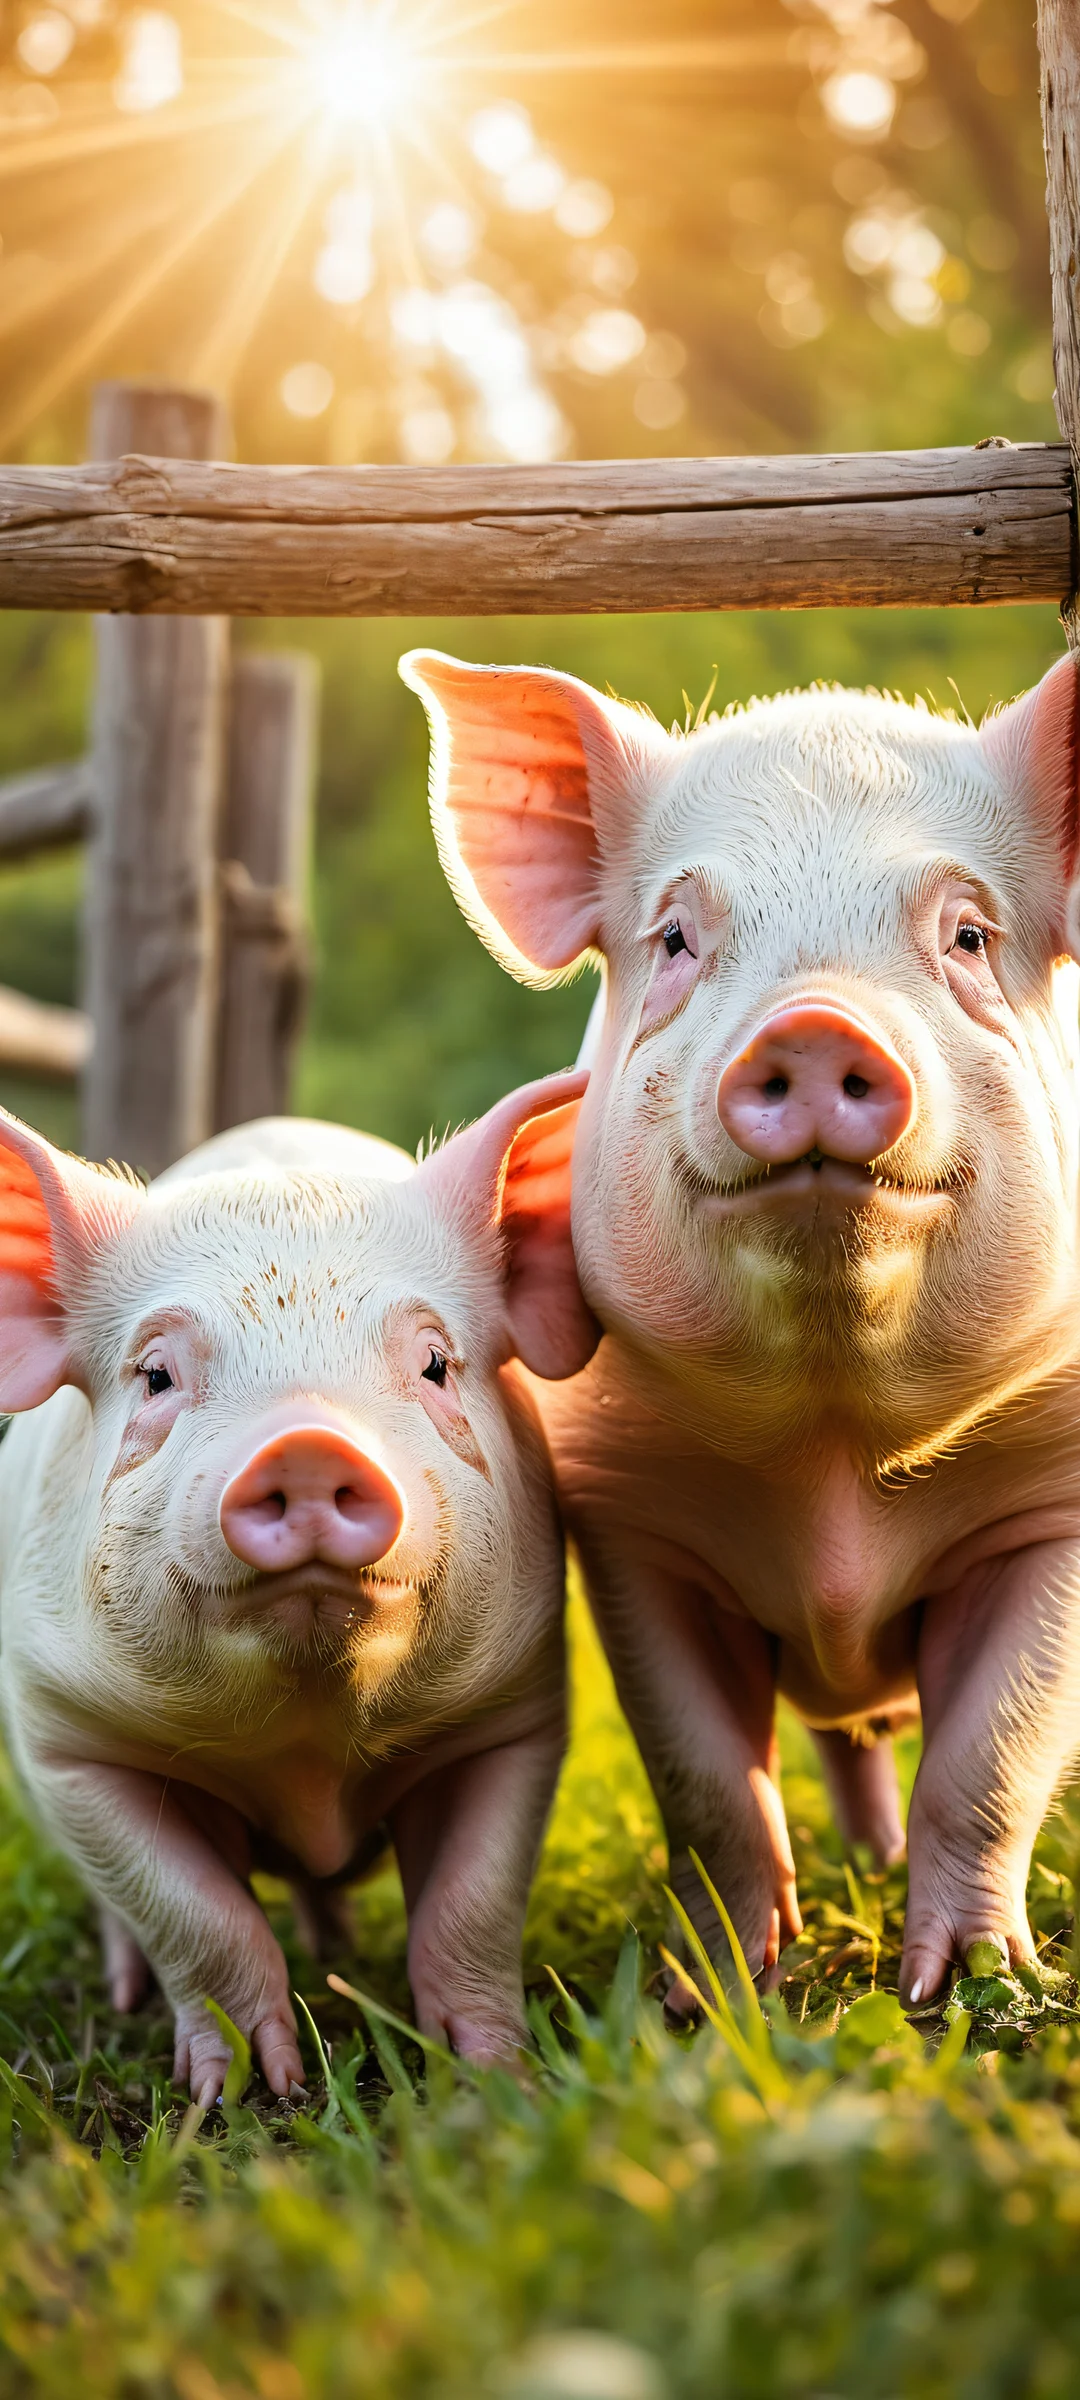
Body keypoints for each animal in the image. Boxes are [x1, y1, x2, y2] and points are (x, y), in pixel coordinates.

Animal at [0, 1076, 596, 2102]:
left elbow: (472, 1907)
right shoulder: (69, 1742)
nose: (309, 1444)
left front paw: (495, 2076)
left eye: (434, 1362)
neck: (309, 1747)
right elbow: (196, 1919)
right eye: (155, 1374)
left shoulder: (515, 1712)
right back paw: (129, 1992)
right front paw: (244, 2093)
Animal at [402, 644, 1080, 2012]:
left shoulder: (1054, 1506)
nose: (814, 1025)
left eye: (969, 934)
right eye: (676, 935)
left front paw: (970, 1993)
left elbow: (991, 1757)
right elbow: (709, 1779)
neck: (834, 1464)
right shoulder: (632, 1530)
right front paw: (711, 1993)